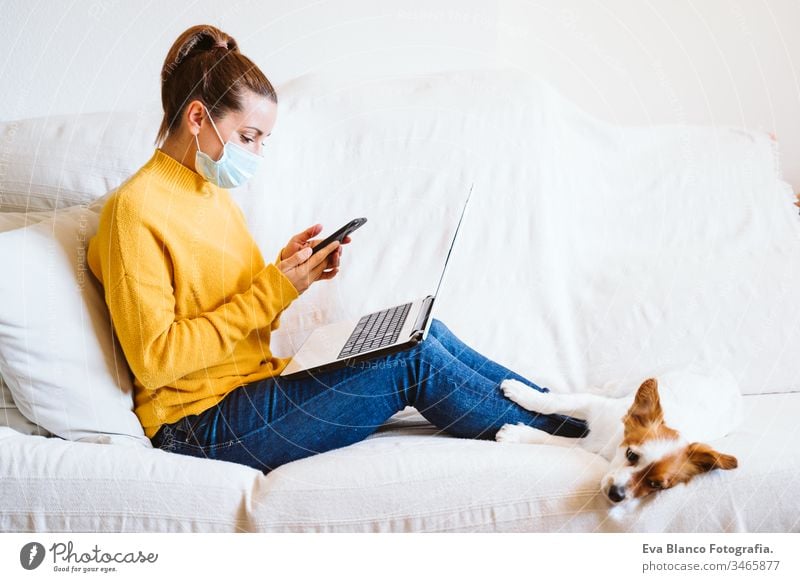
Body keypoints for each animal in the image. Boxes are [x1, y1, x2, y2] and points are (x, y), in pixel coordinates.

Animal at [496, 370, 740, 516]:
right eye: (631, 455)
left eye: (655, 485)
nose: (617, 495)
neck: (612, 443)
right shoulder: (594, 406)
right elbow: (555, 402)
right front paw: (521, 392)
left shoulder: (587, 446)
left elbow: (553, 439)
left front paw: (517, 434)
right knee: (606, 389)